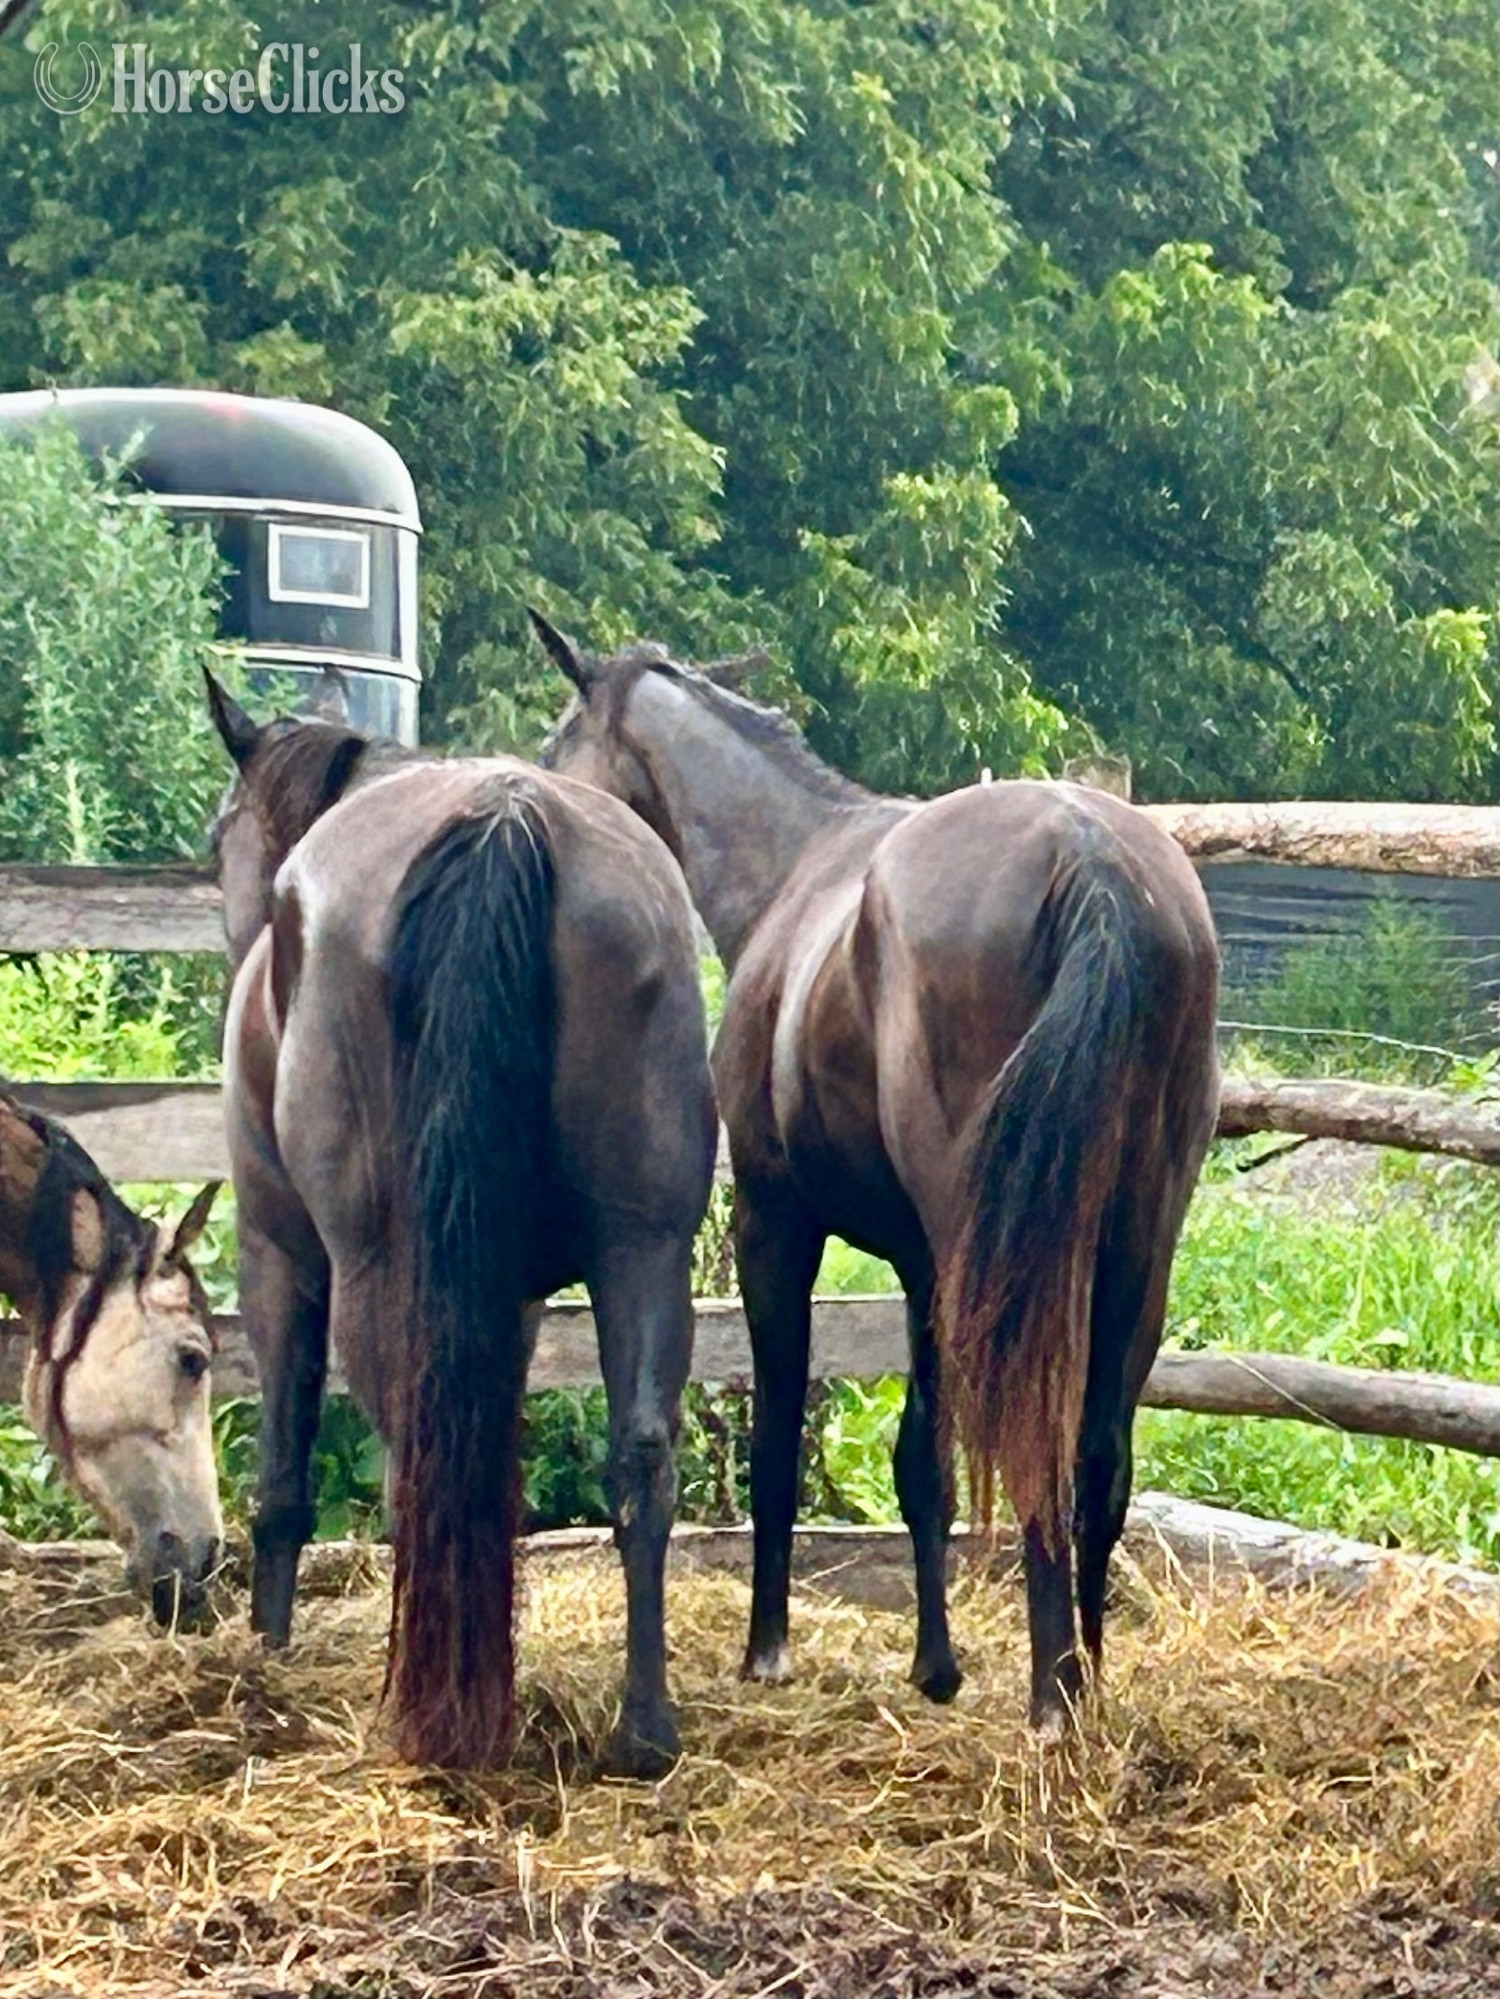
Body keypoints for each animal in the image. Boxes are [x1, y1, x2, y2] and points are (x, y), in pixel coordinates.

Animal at [203, 674, 716, 1772]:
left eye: (221, 832)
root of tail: (504, 817)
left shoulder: (278, 1256)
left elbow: (282, 1477)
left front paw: (267, 1648)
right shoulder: (508, 1299)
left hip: (375, 1268)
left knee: (414, 1459)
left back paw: (431, 1716)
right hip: (641, 1251)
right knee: (639, 1460)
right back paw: (640, 1730)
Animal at [533, 614, 1222, 1731]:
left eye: (562, 739)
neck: (798, 864)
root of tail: (1091, 857)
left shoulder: (776, 1223)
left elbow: (777, 1436)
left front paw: (767, 1648)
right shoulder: (921, 1266)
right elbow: (921, 1458)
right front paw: (935, 1664)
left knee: (1039, 1451)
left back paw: (1051, 1697)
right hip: (1135, 1248)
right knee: (1097, 1457)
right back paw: (1085, 1681)